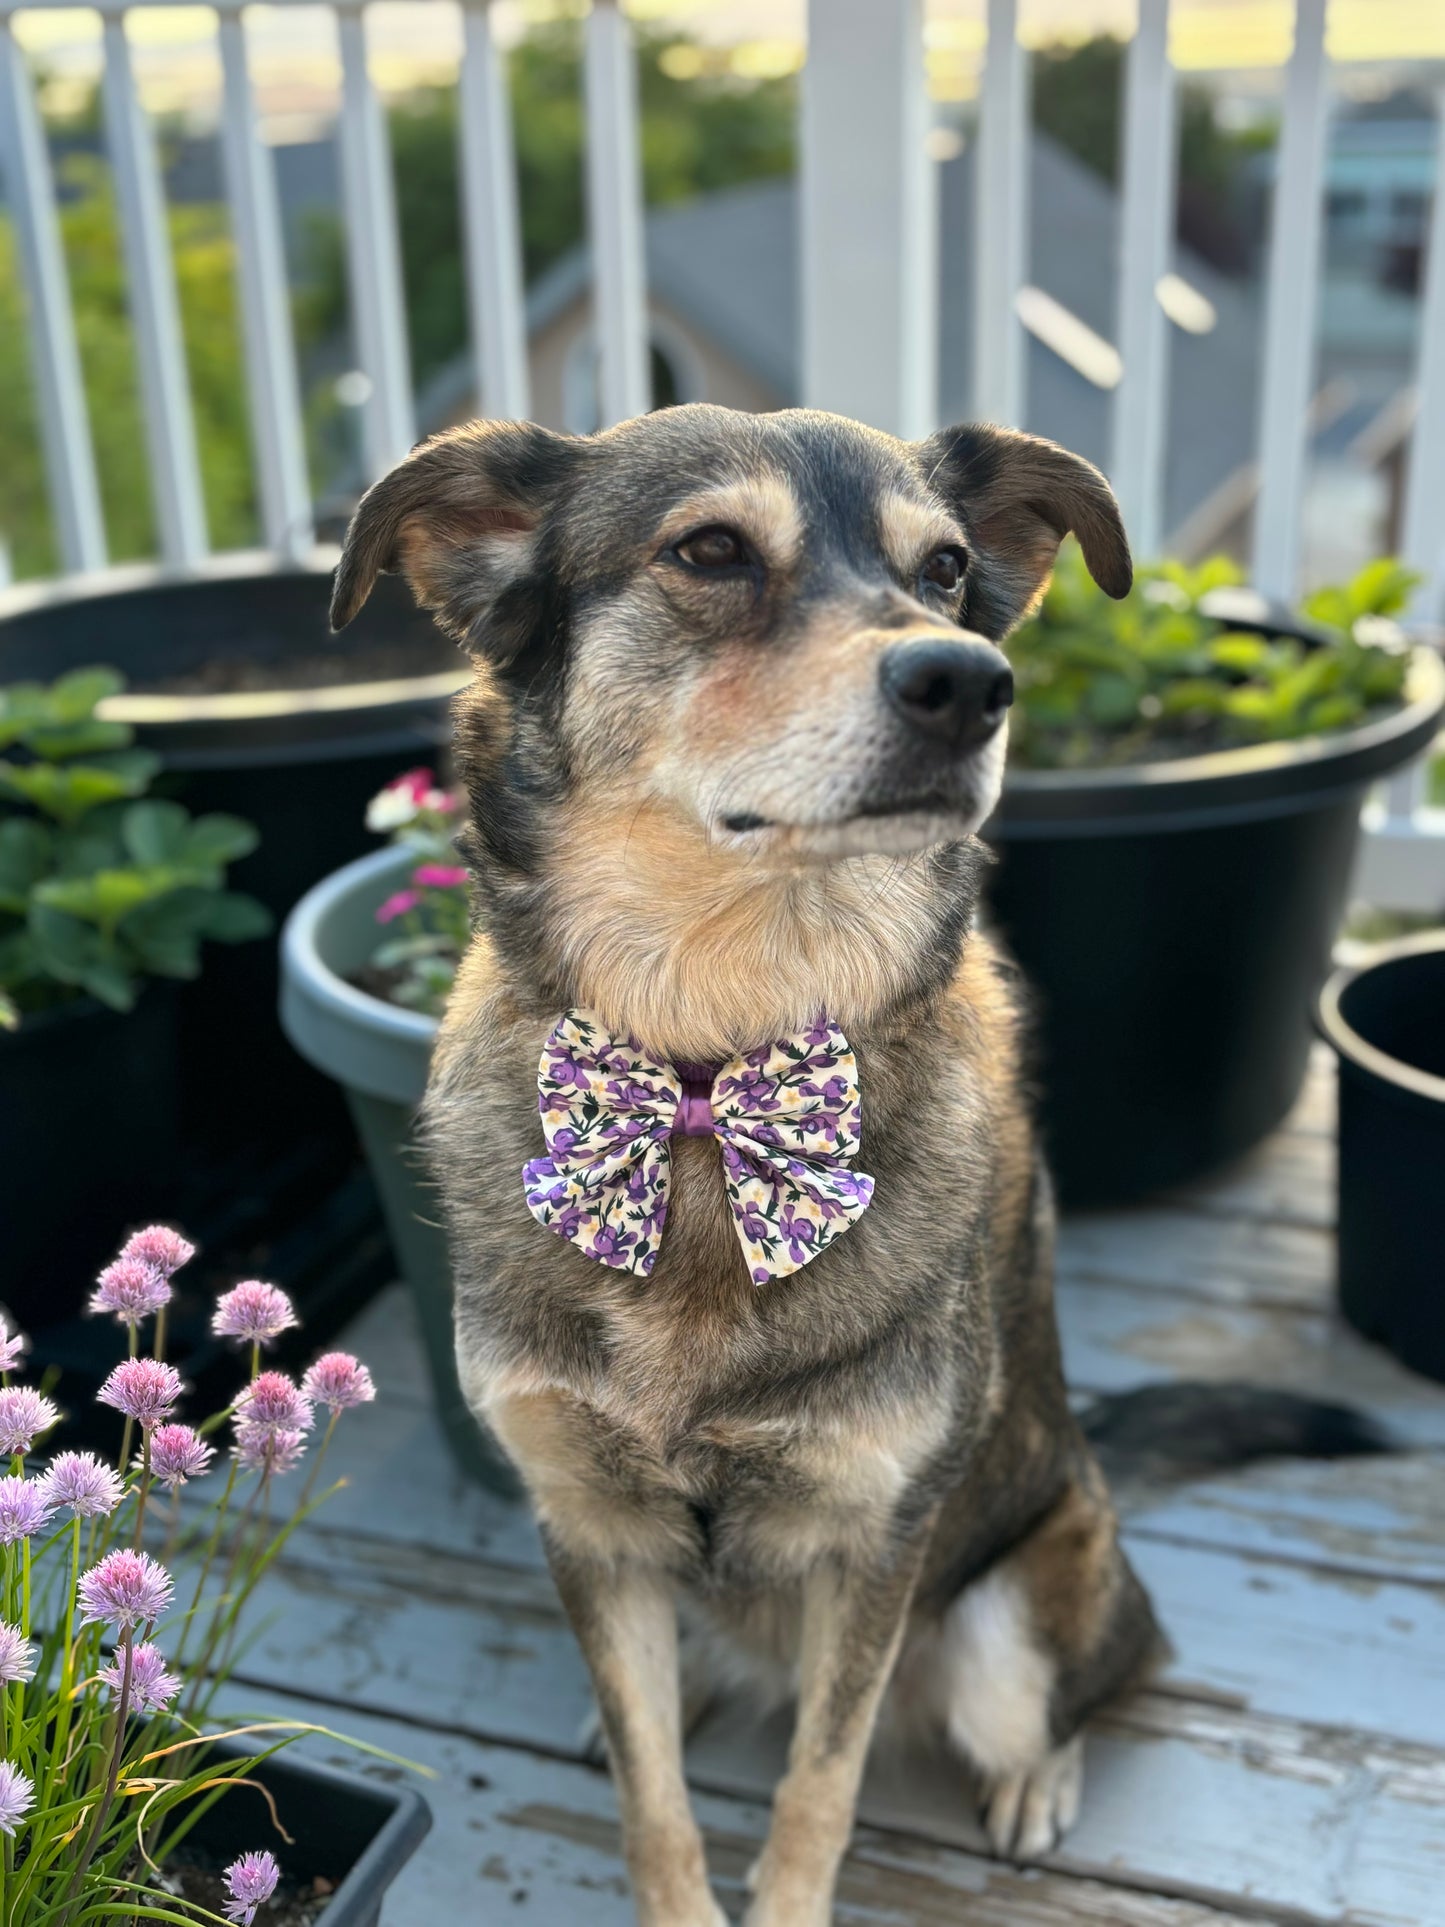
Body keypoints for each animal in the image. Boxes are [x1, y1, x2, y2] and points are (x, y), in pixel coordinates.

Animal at [331, 398, 1379, 1919]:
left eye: (941, 569)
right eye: (710, 550)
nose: (970, 683)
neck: (707, 1067)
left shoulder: (875, 1540)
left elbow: (816, 1785)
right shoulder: (584, 1523)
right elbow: (655, 1797)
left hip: (1012, 1617)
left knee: (1097, 1681)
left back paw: (1037, 1773)